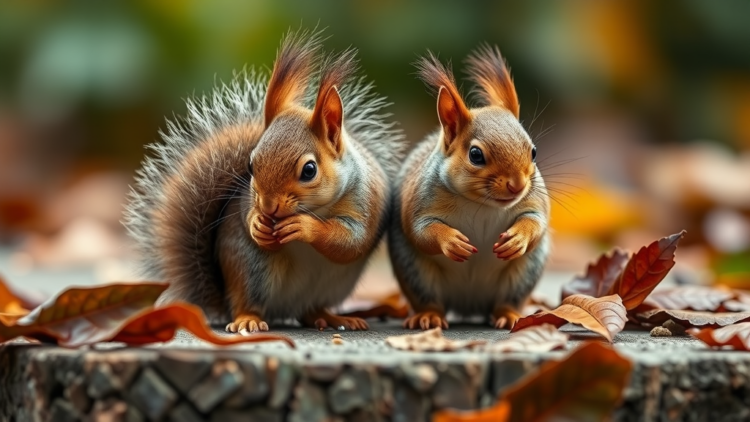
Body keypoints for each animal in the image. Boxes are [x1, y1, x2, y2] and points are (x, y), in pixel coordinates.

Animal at [124, 30, 404, 333]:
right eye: (250, 165)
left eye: (309, 170)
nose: (269, 207)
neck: (316, 208)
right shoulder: (248, 201)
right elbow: (248, 212)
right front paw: (257, 223)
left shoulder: (366, 202)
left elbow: (350, 241)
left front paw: (304, 227)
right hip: (250, 269)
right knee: (249, 303)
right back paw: (248, 319)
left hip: (330, 287)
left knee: (310, 310)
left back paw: (335, 318)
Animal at [388, 45, 550, 330]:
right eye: (476, 155)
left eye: (533, 151)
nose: (518, 185)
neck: (481, 205)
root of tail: (469, 304)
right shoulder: (419, 202)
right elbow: (421, 231)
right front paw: (451, 241)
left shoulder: (534, 201)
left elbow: (536, 220)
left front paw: (517, 238)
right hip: (416, 274)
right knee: (431, 301)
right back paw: (429, 316)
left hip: (522, 275)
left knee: (505, 302)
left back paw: (510, 316)